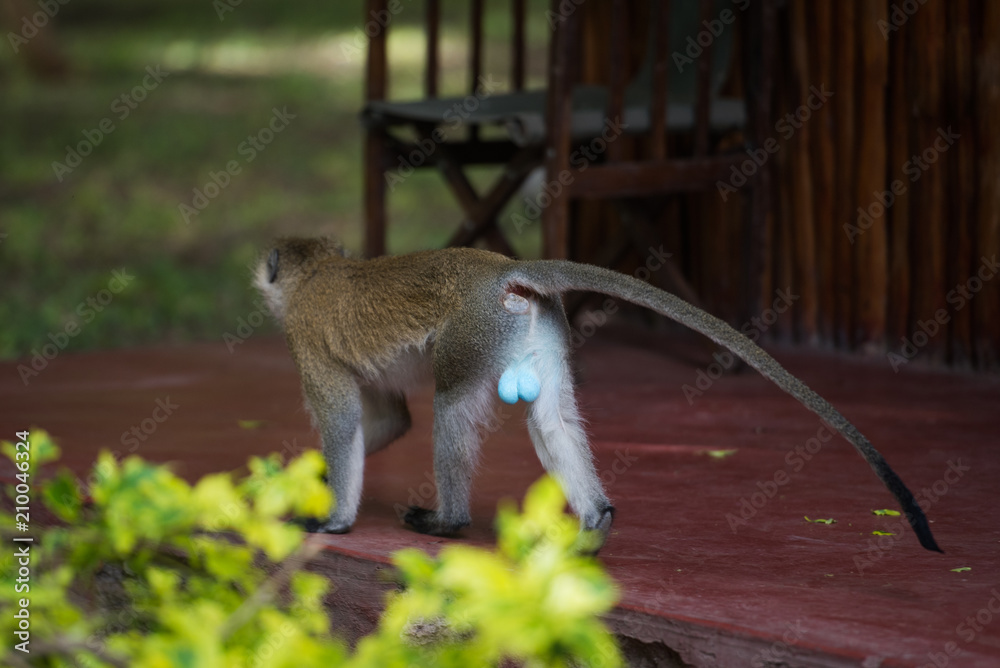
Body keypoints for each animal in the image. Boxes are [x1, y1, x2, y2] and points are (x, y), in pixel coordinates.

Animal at [255, 237, 942, 555]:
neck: (317, 274)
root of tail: (501, 269)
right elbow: (389, 420)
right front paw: (294, 481)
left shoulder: (303, 337)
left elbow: (344, 423)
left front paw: (332, 518)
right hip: (537, 326)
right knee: (551, 415)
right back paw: (596, 518)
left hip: (476, 330)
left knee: (452, 405)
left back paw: (449, 522)